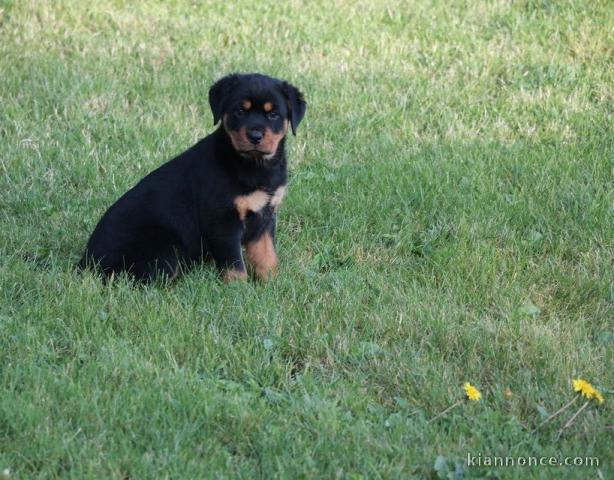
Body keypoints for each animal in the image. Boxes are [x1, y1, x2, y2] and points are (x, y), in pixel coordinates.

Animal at [78, 73, 306, 284]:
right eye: (240, 111)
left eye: (273, 115)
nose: (255, 136)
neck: (253, 165)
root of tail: (86, 264)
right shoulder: (224, 221)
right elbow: (234, 265)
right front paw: (238, 290)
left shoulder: (266, 215)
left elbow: (267, 256)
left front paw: (273, 283)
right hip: (165, 249)